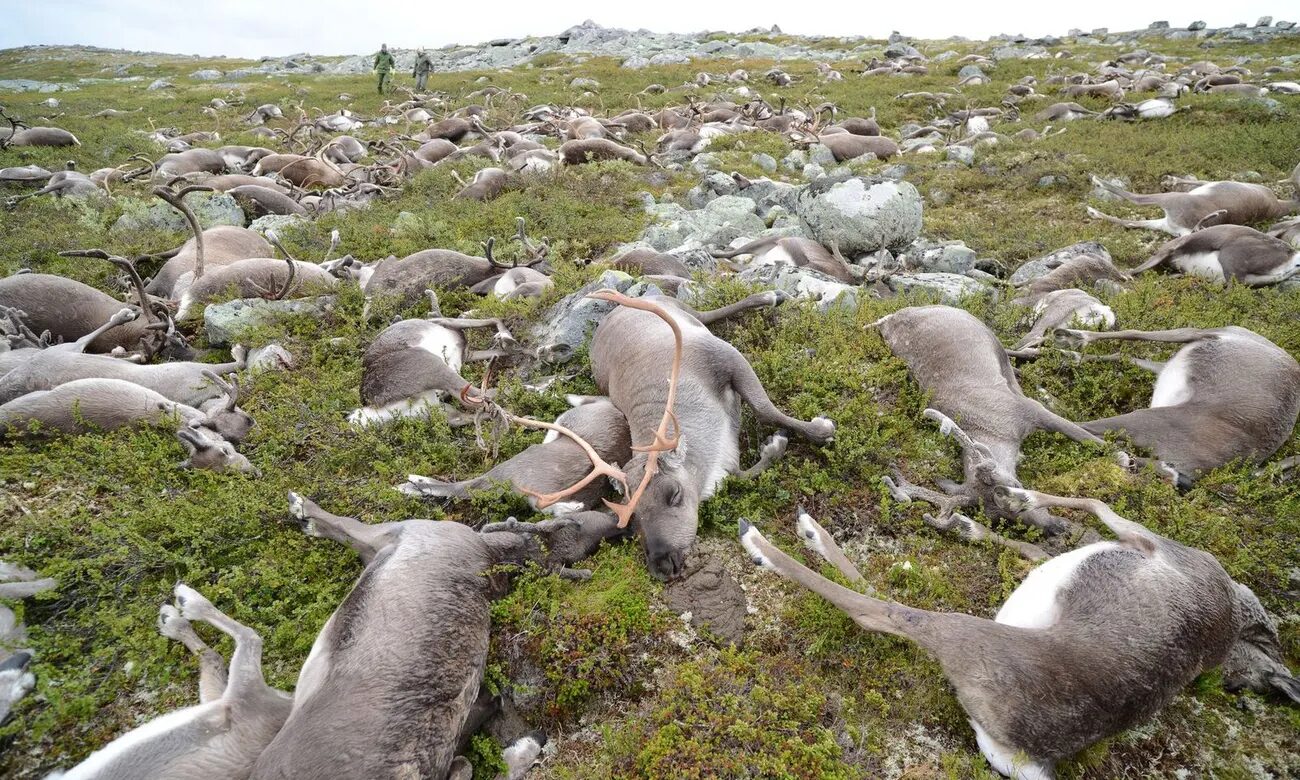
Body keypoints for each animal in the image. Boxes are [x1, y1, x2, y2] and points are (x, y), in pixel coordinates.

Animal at [246, 493, 619, 780]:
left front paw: (302, 508)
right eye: (574, 525)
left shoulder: (402, 531)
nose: (616, 521)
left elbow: (344, 524)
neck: (491, 556)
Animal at [1087, 173, 1300, 236]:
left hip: (1169, 201)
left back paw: (1096, 185)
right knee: (1130, 222)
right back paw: (1093, 212)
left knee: (1134, 198)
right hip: (1165, 222)